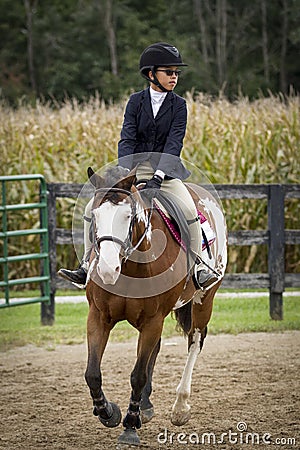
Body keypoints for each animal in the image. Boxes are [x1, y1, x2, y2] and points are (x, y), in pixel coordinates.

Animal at [83, 163, 226, 444]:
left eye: (128, 216)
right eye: (94, 216)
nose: (107, 270)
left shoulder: (153, 320)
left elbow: (137, 375)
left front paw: (129, 425)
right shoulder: (98, 316)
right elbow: (92, 373)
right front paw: (108, 413)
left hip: (204, 301)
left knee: (195, 341)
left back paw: (180, 408)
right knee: (157, 349)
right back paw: (146, 407)